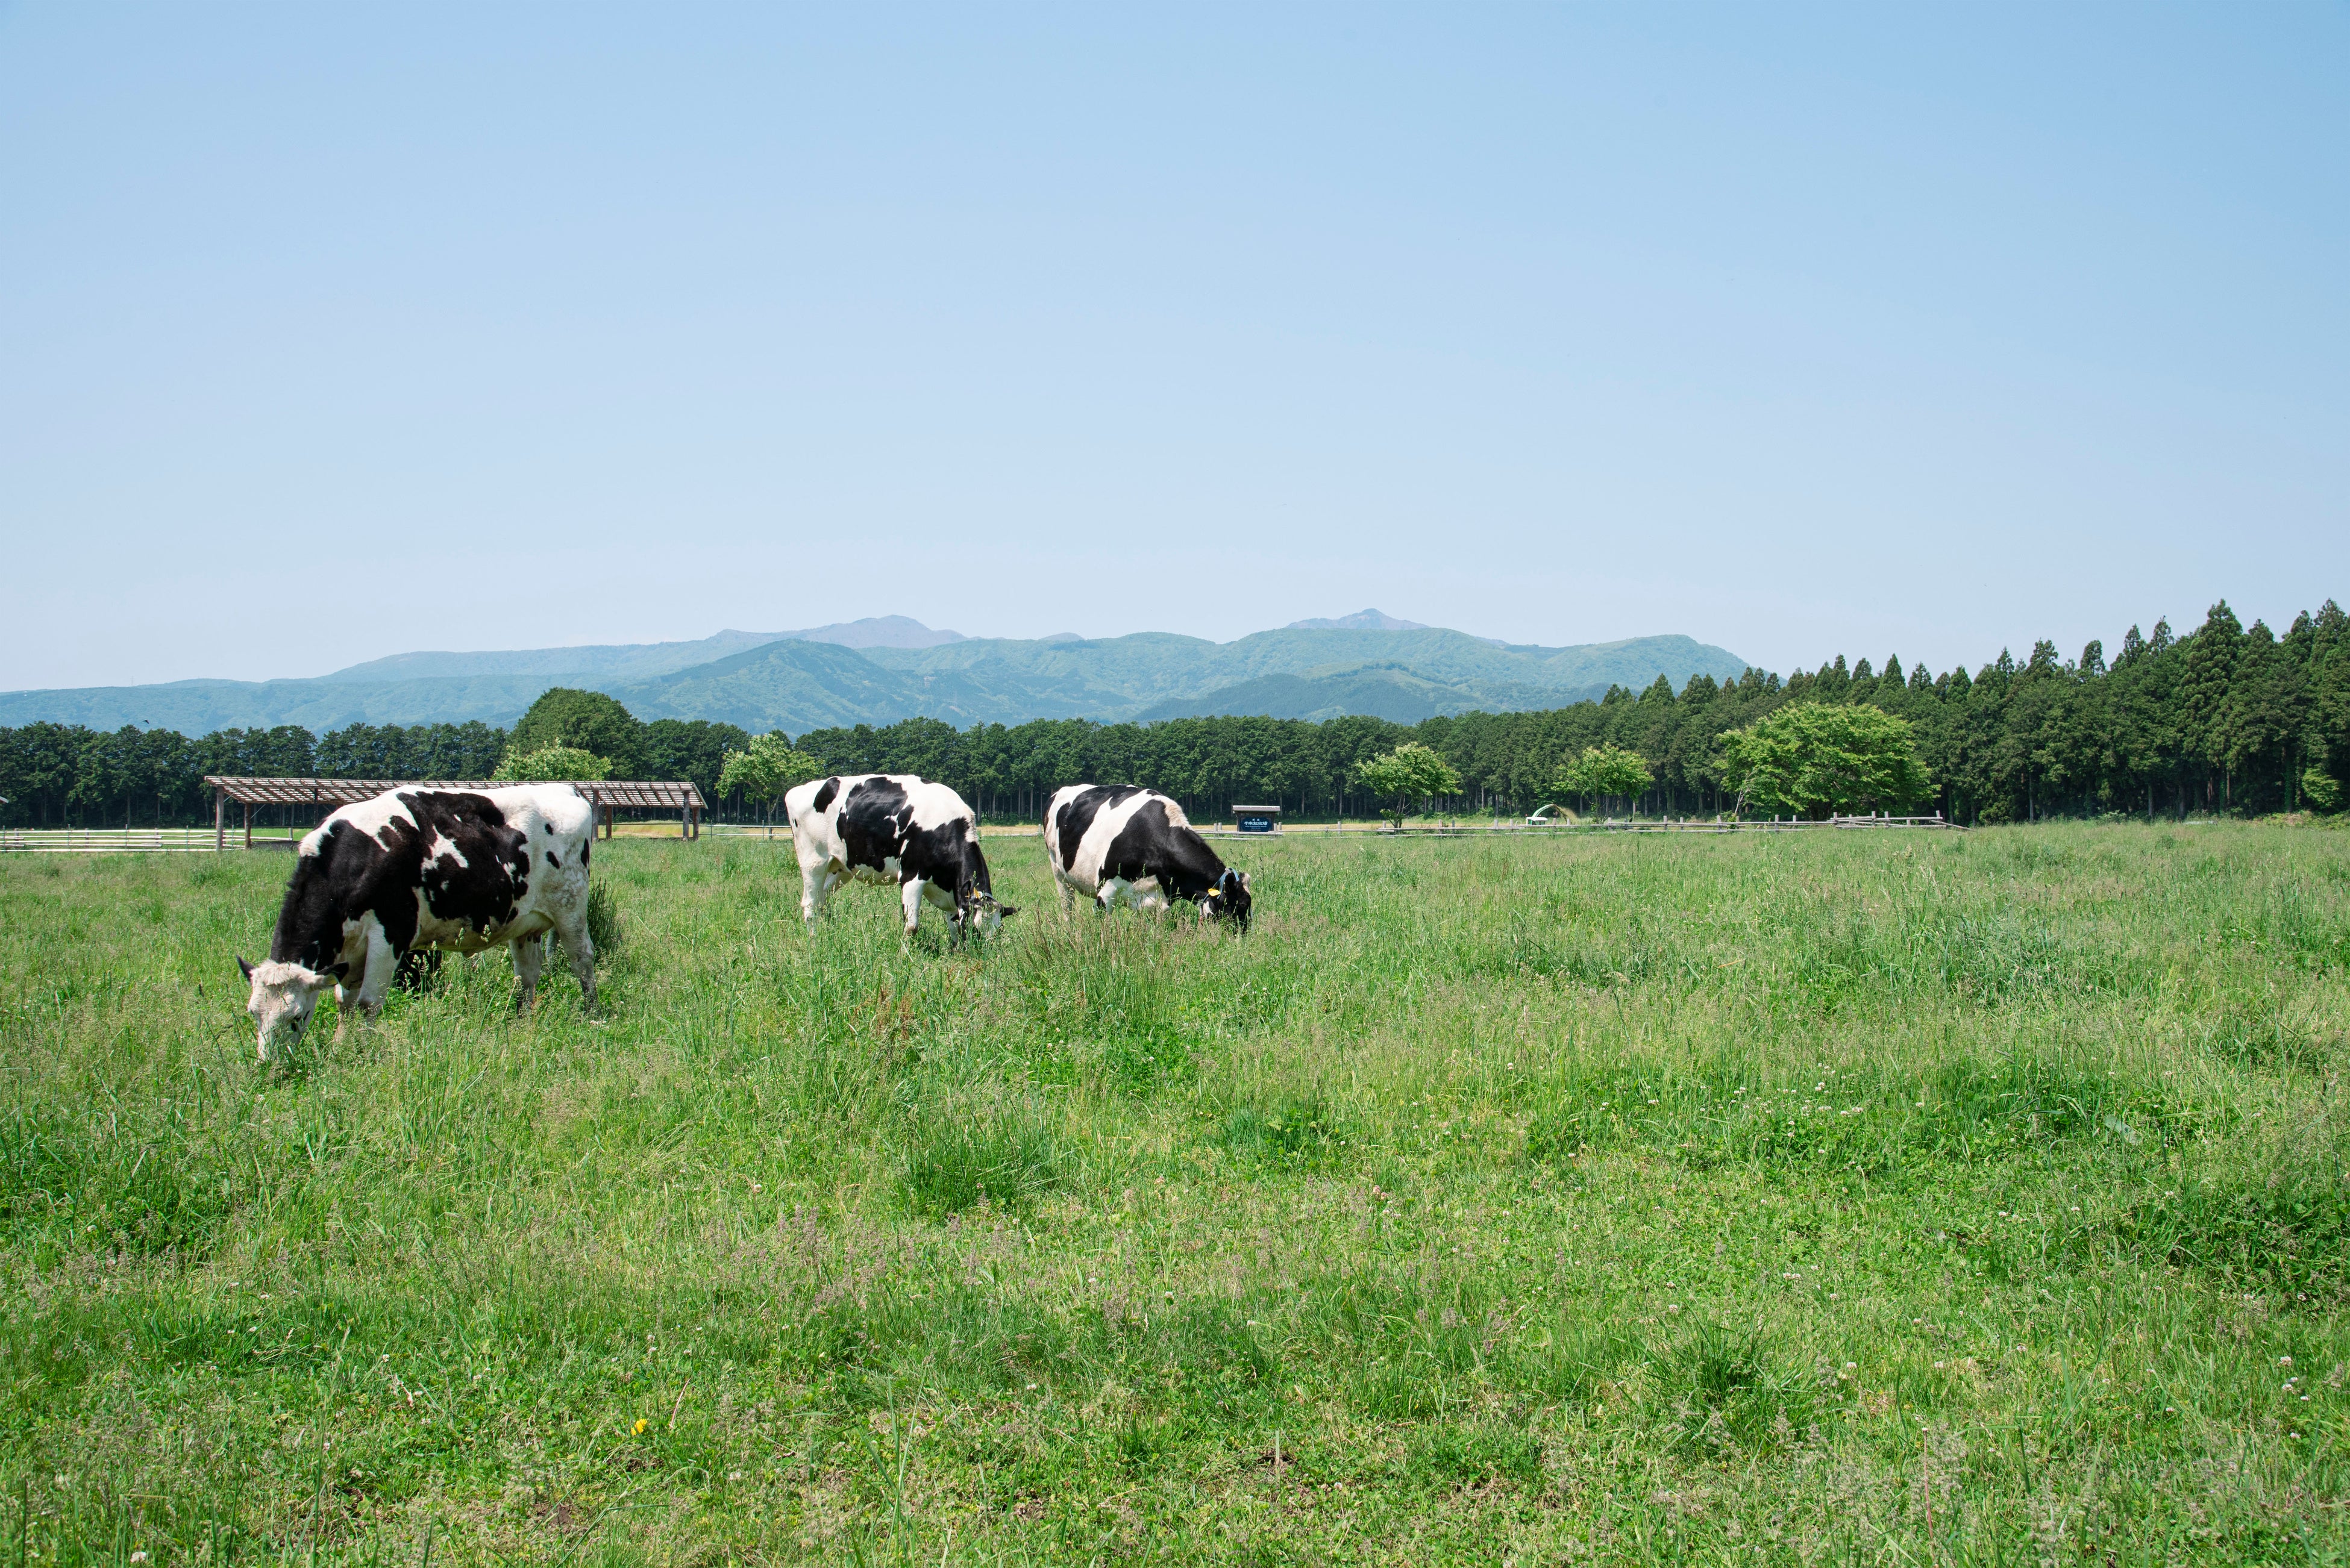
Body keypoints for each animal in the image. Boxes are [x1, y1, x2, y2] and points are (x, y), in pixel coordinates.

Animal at [236, 780, 597, 1053]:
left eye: (297, 1017)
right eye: (253, 1014)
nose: (271, 1067)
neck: (356, 859)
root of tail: (564, 789)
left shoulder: (391, 935)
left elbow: (367, 1003)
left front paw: (362, 1051)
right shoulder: (350, 951)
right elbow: (344, 1003)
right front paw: (342, 1046)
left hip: (570, 908)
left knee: (582, 961)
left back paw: (592, 1015)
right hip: (524, 922)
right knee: (527, 976)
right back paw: (523, 1023)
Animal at [785, 775, 1015, 940]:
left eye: (999, 930)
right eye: (976, 930)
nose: (983, 954)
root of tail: (798, 790)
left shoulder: (953, 889)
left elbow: (954, 924)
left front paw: (955, 952)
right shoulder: (911, 877)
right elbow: (912, 926)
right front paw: (906, 957)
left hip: (840, 867)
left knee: (821, 900)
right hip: (813, 860)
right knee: (810, 904)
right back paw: (814, 941)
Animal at [1038, 785, 1250, 931]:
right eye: (1239, 905)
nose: (1241, 939)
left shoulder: (1159, 899)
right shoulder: (1105, 890)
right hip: (1058, 871)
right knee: (1067, 905)